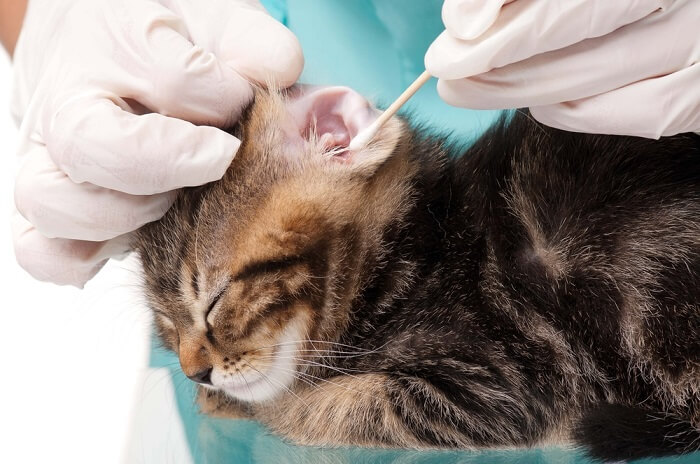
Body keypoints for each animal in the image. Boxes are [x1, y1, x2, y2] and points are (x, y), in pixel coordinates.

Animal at [135, 86, 700, 460]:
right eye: (167, 327)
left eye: (214, 299)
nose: (194, 372)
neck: (417, 251)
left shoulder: (497, 385)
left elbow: (315, 406)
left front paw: (247, 404)